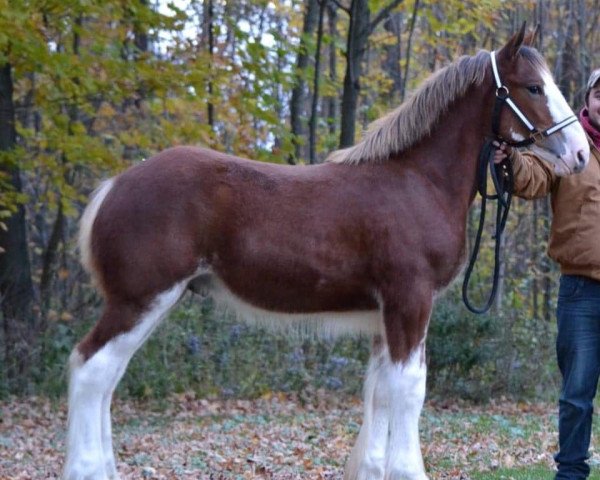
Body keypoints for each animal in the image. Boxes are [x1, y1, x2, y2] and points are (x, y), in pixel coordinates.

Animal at [63, 27, 588, 480]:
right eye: (534, 87)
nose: (581, 154)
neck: (418, 181)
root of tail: (115, 186)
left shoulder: (384, 314)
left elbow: (379, 392)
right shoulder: (410, 301)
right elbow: (409, 389)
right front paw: (408, 470)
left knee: (107, 377)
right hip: (141, 299)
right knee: (92, 370)